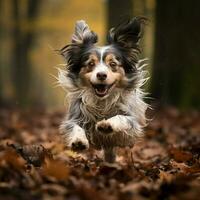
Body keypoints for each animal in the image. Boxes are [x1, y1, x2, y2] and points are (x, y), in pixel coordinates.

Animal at [57, 17, 148, 162]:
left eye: (113, 64)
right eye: (90, 63)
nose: (101, 75)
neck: (101, 101)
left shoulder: (132, 123)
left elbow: (122, 118)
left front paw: (107, 125)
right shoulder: (74, 117)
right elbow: (74, 126)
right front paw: (79, 141)